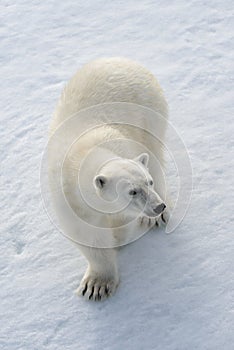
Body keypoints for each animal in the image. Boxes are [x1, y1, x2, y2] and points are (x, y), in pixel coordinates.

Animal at [48, 57, 169, 300]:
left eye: (148, 182)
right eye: (132, 191)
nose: (158, 206)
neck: (81, 155)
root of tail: (121, 60)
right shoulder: (68, 198)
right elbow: (87, 234)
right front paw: (95, 285)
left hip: (149, 112)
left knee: (153, 151)